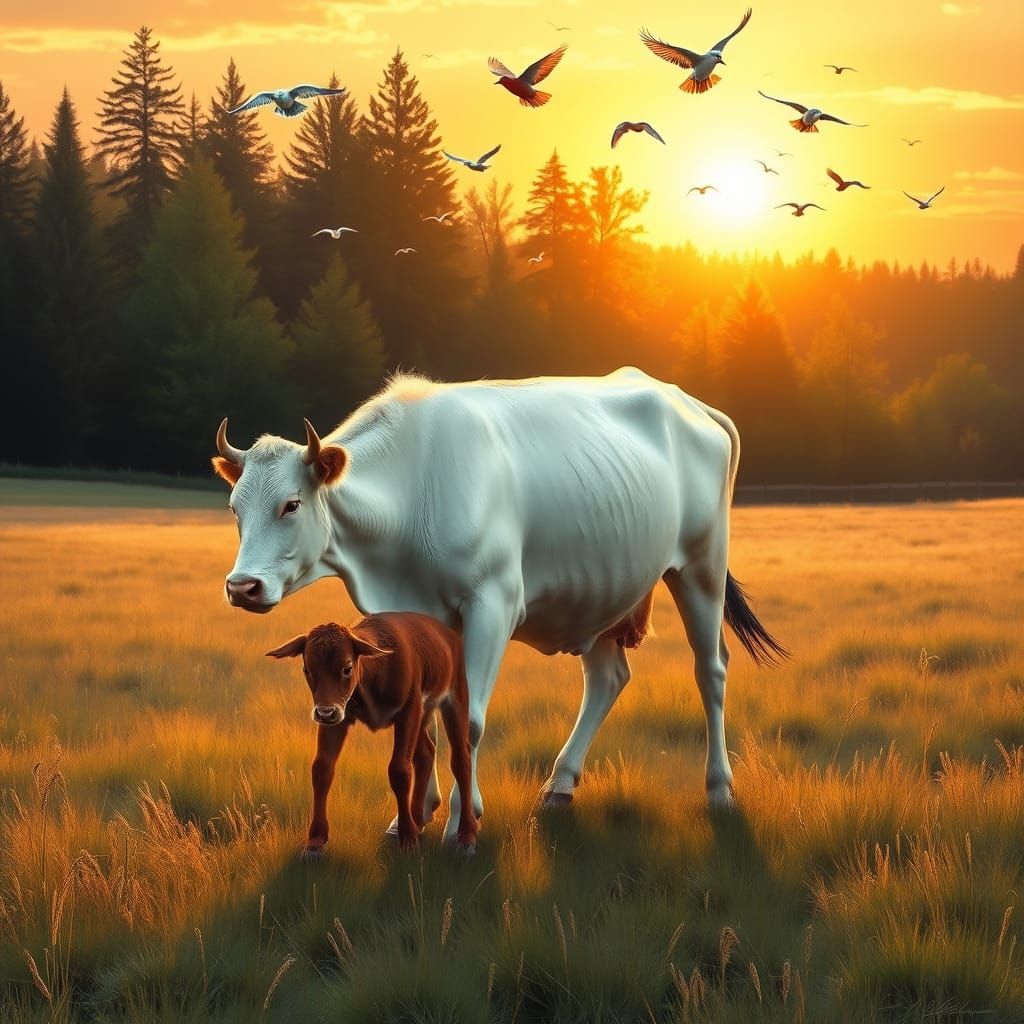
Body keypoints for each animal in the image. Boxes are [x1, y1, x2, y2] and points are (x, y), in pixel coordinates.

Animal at [213, 368, 786, 843]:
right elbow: (425, 723)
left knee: (711, 670)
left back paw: (719, 789)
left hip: (701, 566)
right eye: (235, 507)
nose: (242, 587)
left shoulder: (493, 603)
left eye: (291, 504)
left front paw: (460, 824)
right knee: (608, 679)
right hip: (601, 587)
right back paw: (561, 784)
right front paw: (410, 817)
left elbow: (466, 723)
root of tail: (688, 401)